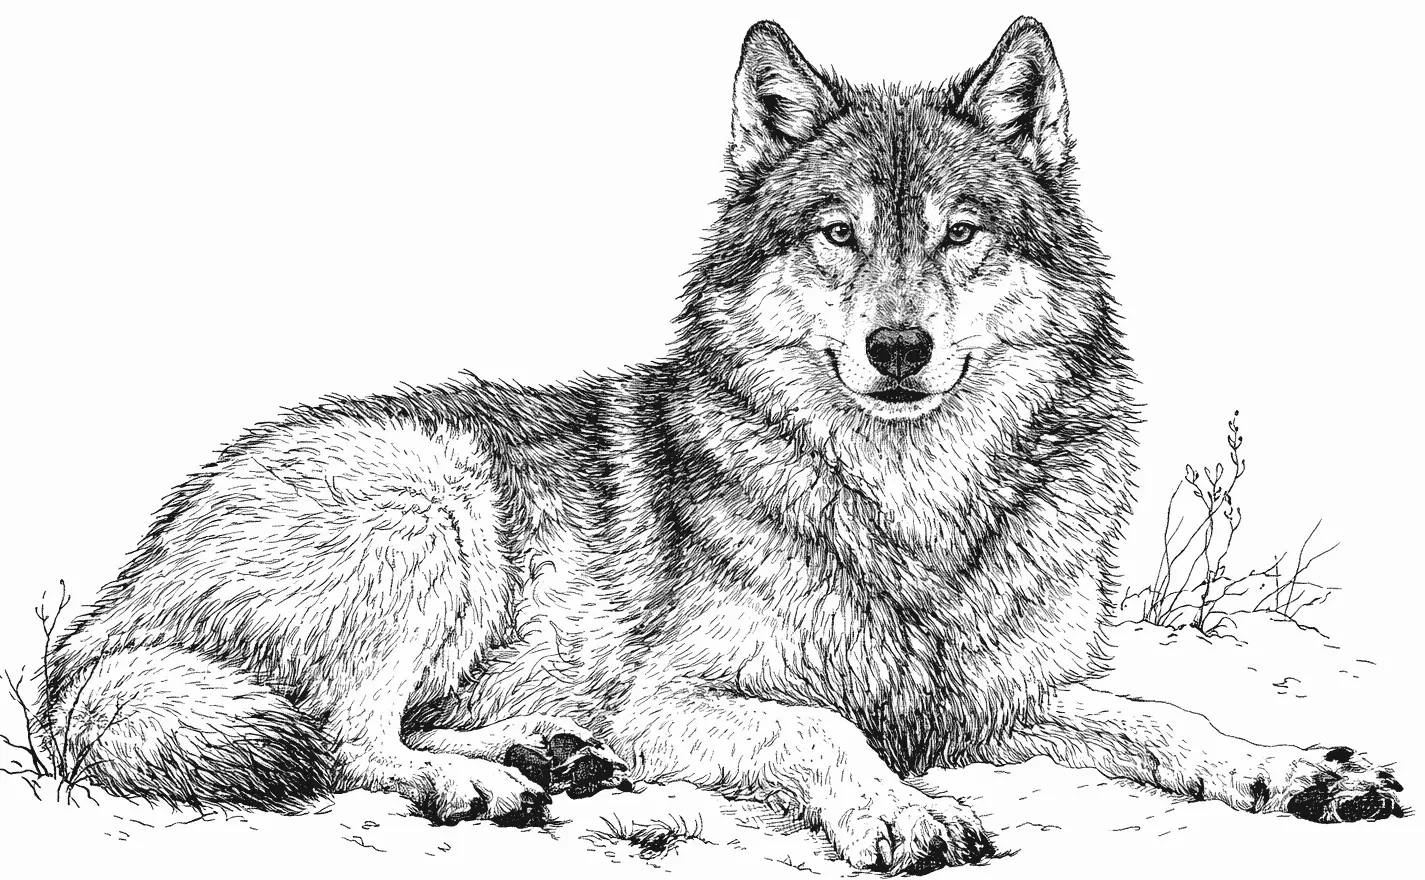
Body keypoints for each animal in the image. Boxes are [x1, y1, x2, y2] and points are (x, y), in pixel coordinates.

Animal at [46, 16, 1403, 873]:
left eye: (960, 232)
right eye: (836, 233)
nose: (898, 348)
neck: (913, 511)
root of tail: (105, 615)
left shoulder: (1004, 702)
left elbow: (1176, 721)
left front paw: (1299, 771)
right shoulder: (681, 699)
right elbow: (827, 730)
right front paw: (900, 815)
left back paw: (547, 753)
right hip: (431, 496)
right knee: (339, 734)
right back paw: (483, 781)